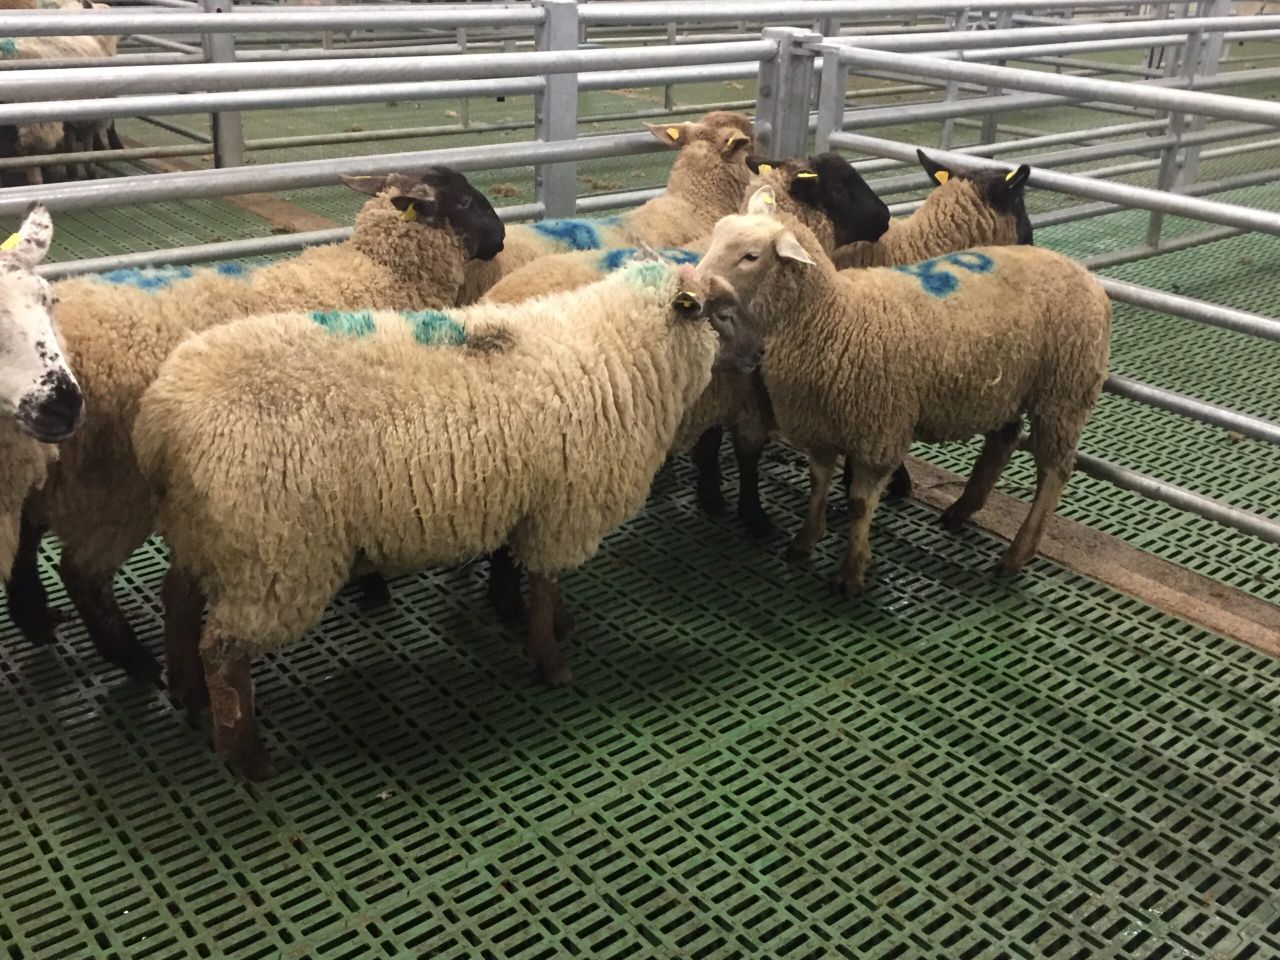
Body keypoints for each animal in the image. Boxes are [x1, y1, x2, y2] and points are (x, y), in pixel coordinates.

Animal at [6, 169, 505, 681]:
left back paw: (37, 620)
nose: (502, 236)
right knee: (82, 573)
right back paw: (136, 663)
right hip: (113, 487)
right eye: (465, 201)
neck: (382, 272)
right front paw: (373, 585)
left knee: (26, 540)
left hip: (48, 471)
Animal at [131, 260, 759, 779]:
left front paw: (532, 619)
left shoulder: (526, 498)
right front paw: (552, 661)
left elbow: (519, 570)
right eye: (723, 313)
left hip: (212, 532)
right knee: (224, 650)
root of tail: (162, 419)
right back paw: (247, 755)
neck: (613, 348)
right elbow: (544, 582)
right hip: (274, 552)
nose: (760, 356)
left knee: (178, 599)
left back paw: (187, 692)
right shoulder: (563, 508)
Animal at [691, 208, 1110, 593]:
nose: (694, 292)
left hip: (1063, 393)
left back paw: (1016, 554)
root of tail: (1085, 275)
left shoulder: (880, 430)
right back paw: (962, 509)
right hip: (1005, 386)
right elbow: (817, 483)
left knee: (1054, 471)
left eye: (751, 256)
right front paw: (804, 541)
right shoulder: (820, 423)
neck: (832, 315)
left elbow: (860, 502)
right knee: (1003, 440)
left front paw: (851, 572)